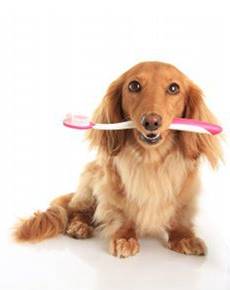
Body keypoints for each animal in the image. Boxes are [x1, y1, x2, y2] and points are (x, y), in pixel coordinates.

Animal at [13, 61, 221, 258]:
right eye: (134, 86)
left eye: (174, 88)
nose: (151, 122)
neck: (150, 159)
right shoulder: (113, 186)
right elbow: (123, 213)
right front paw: (125, 238)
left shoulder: (185, 192)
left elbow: (180, 217)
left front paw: (184, 238)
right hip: (90, 181)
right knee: (79, 211)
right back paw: (80, 226)